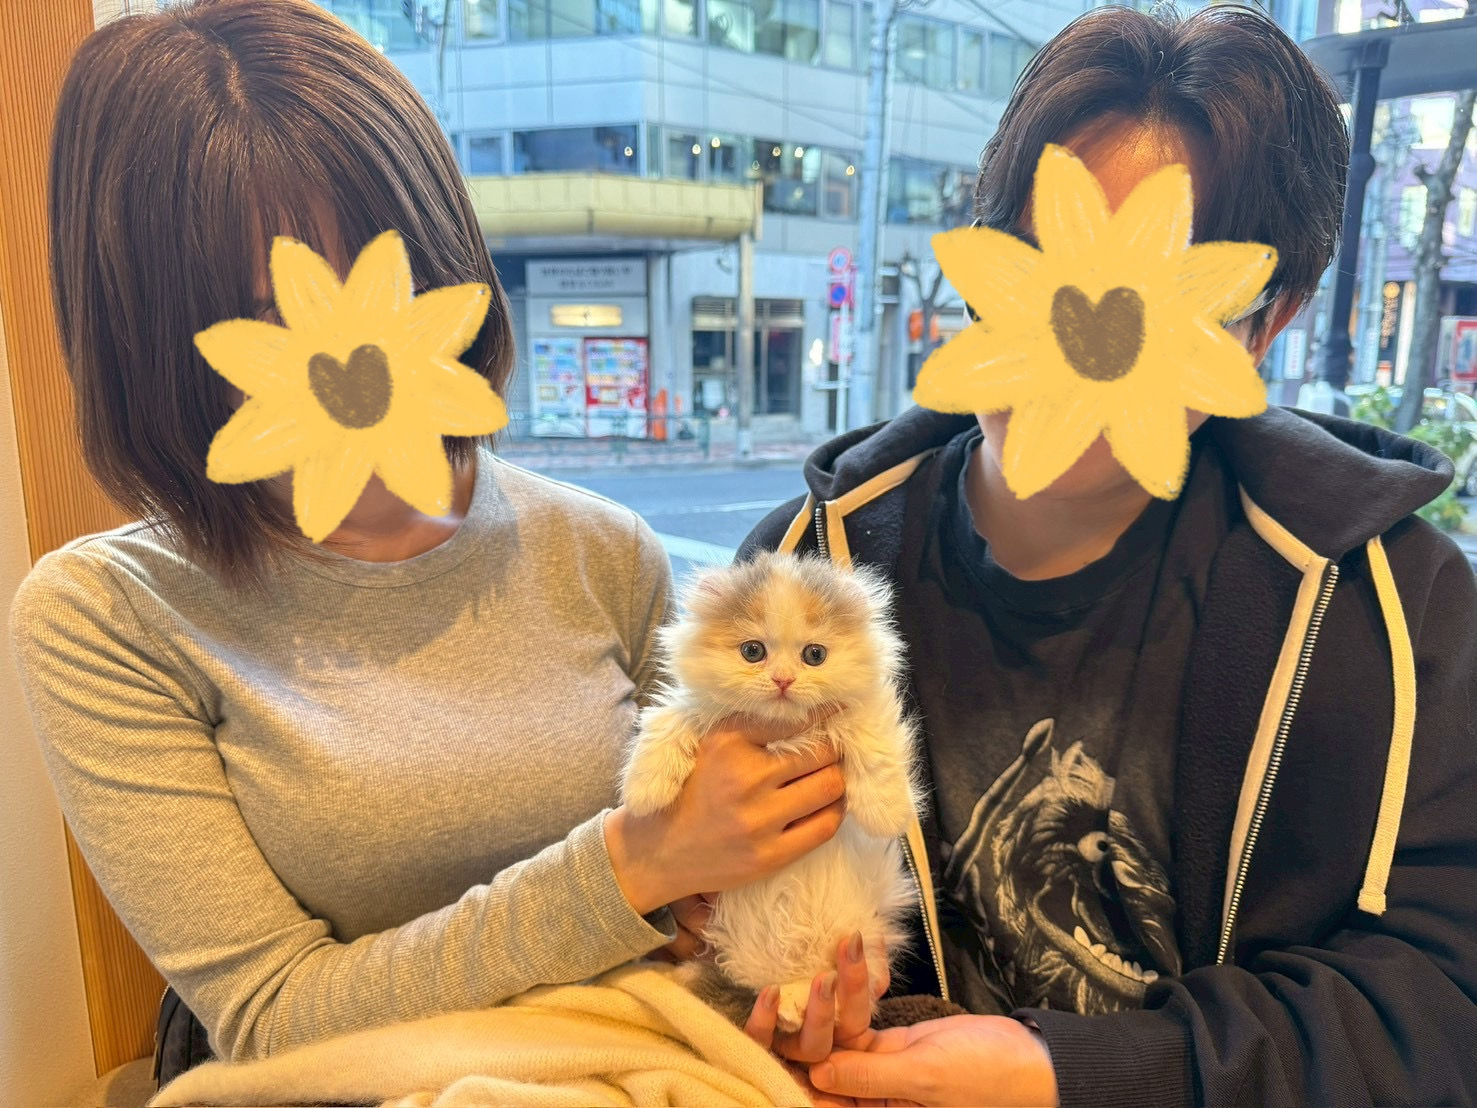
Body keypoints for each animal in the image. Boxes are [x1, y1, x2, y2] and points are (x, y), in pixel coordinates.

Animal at [620, 551, 922, 1032]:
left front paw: (885, 809)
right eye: (752, 652)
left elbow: (870, 738)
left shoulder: (863, 710)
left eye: (814, 655)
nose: (783, 680)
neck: (782, 731)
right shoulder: (696, 708)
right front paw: (646, 788)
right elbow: (669, 719)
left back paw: (798, 1004)